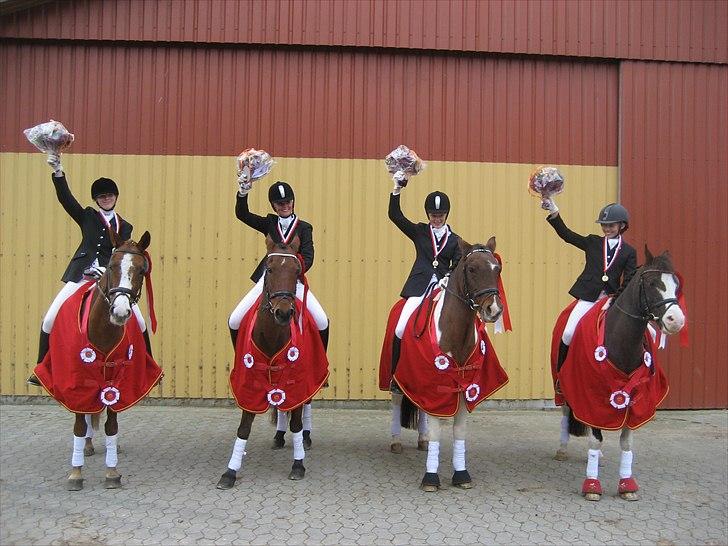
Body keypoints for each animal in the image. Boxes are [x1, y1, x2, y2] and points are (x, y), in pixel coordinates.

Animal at [33, 232, 161, 490]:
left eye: (142, 270)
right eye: (112, 265)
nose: (120, 311)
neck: (102, 332)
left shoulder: (117, 382)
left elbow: (111, 424)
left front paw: (112, 472)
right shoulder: (74, 381)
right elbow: (79, 424)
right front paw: (76, 473)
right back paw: (87, 446)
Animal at [218, 236, 328, 486]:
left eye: (297, 271)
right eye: (269, 269)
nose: (284, 313)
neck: (272, 337)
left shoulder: (299, 383)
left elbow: (296, 423)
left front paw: (298, 464)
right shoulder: (247, 384)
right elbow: (243, 428)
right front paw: (230, 472)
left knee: (306, 404)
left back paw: (306, 438)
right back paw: (279, 436)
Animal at [396, 236, 510, 490]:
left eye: (497, 269)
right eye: (472, 269)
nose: (494, 310)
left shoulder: (466, 387)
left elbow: (459, 430)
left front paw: (461, 473)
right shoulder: (434, 384)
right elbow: (438, 430)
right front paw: (430, 477)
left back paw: (422, 440)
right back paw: (395, 442)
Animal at [556, 245, 684, 498]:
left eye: (675, 284)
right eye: (653, 283)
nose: (676, 321)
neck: (622, 342)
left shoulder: (635, 399)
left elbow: (627, 443)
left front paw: (627, 484)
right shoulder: (591, 393)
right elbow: (595, 439)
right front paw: (592, 485)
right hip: (564, 385)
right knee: (567, 411)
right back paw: (563, 449)